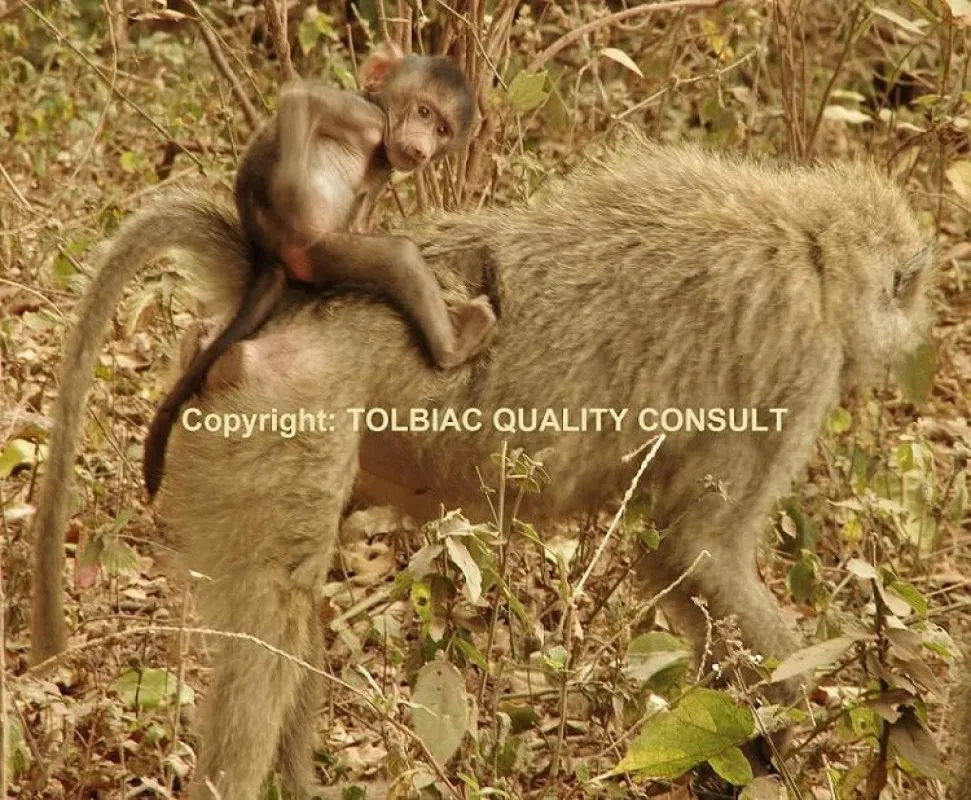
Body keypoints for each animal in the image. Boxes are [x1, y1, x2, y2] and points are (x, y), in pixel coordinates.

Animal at [32, 138, 934, 798]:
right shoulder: (797, 365)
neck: (813, 246)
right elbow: (694, 551)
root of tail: (281, 294)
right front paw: (809, 722)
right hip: (287, 415)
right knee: (272, 615)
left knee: (293, 613)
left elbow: (674, 563)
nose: (912, 343)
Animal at [141, 42, 495, 498]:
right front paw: (291, 191)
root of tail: (269, 256)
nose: (422, 151)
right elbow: (301, 99)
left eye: (443, 131)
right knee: (398, 256)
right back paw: (453, 347)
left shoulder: (384, 166)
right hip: (312, 253)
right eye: (423, 112)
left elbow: (361, 211)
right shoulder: (367, 119)